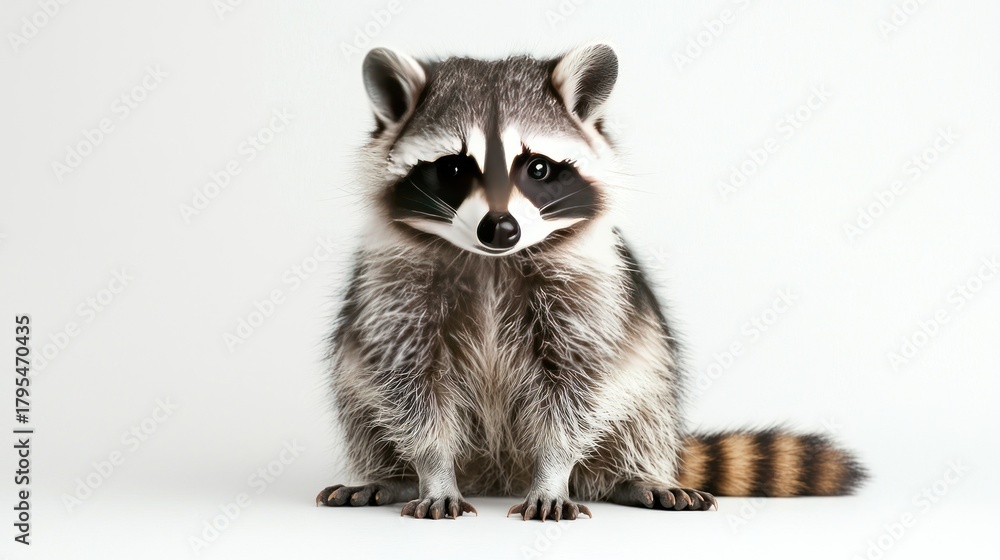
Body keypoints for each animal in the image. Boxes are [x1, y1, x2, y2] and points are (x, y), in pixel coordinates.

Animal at [316, 43, 866, 521]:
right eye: (453, 169)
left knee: (641, 413)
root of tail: (497, 473)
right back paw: (391, 475)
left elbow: (577, 387)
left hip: (651, 383)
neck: (492, 261)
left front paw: (552, 474)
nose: (501, 229)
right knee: (359, 402)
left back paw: (632, 474)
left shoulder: (588, 289)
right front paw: (431, 472)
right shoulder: (396, 289)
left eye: (537, 168)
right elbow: (409, 385)